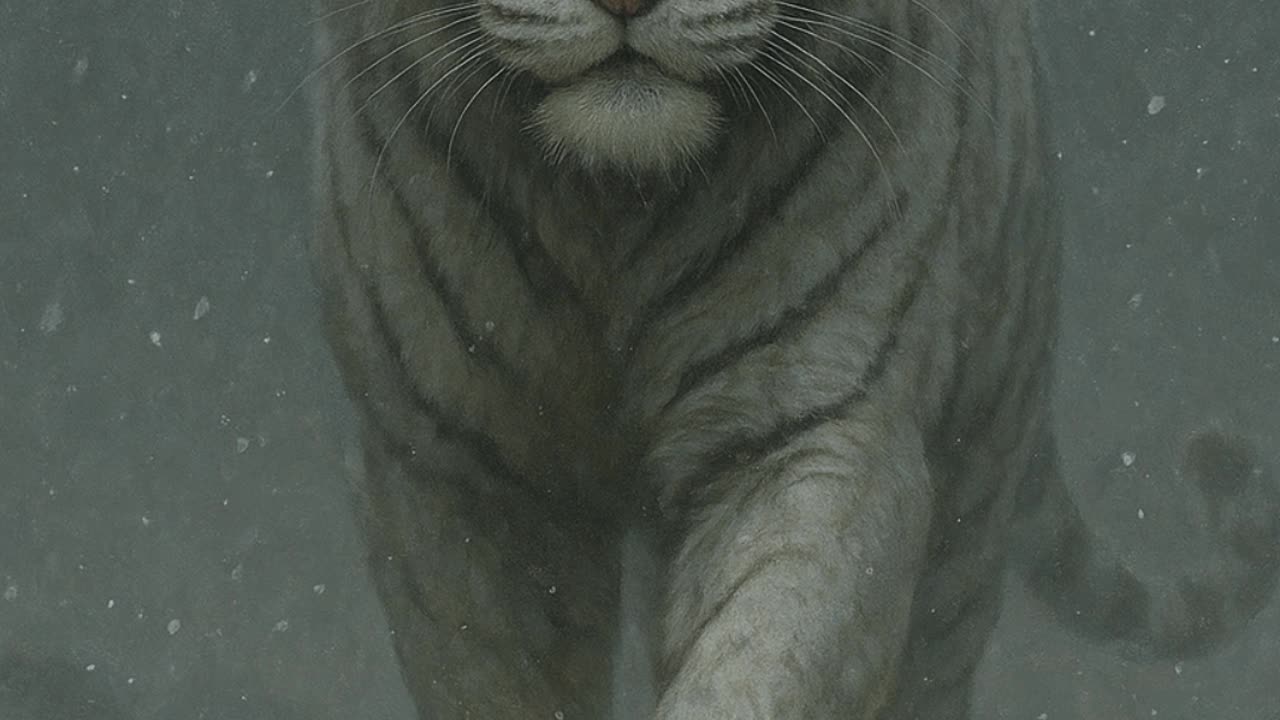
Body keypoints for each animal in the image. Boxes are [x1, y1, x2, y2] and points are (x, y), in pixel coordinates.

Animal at [307, 0, 1280, 716]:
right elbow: (491, 680)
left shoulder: (807, 432)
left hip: (974, 500)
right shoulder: (452, 474)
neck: (613, 197)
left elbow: (762, 653)